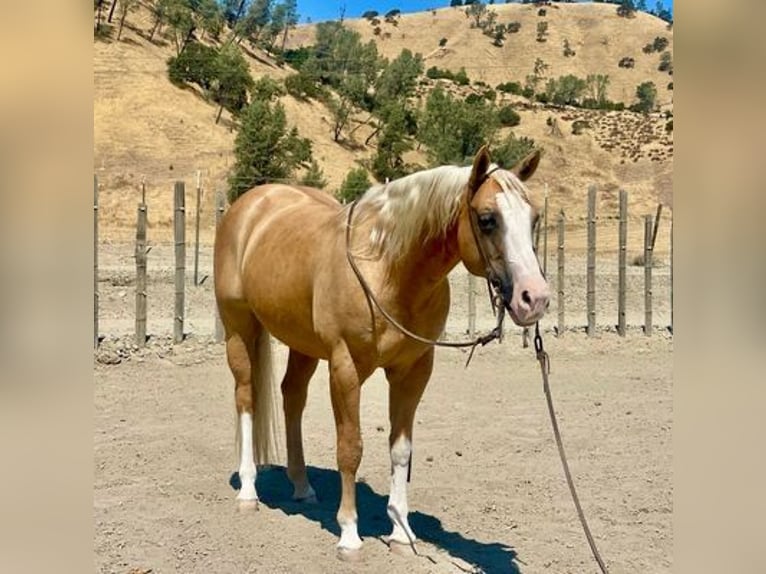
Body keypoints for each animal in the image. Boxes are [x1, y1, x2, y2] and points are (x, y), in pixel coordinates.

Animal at [213, 145, 550, 559]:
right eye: (488, 220)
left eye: (534, 218)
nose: (535, 298)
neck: (388, 269)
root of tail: (250, 204)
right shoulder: (345, 367)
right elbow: (350, 447)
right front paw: (349, 534)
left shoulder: (413, 370)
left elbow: (401, 450)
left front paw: (401, 533)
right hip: (239, 328)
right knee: (246, 397)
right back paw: (248, 491)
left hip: (302, 343)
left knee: (292, 397)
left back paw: (302, 486)